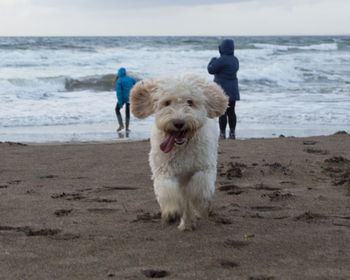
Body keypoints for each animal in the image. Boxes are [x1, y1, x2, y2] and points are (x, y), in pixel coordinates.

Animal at [131, 74, 227, 230]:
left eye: (190, 102)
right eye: (167, 102)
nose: (178, 122)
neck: (182, 146)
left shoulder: (204, 168)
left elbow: (199, 187)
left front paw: (201, 206)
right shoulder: (164, 169)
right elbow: (167, 189)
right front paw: (171, 212)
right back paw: (186, 223)